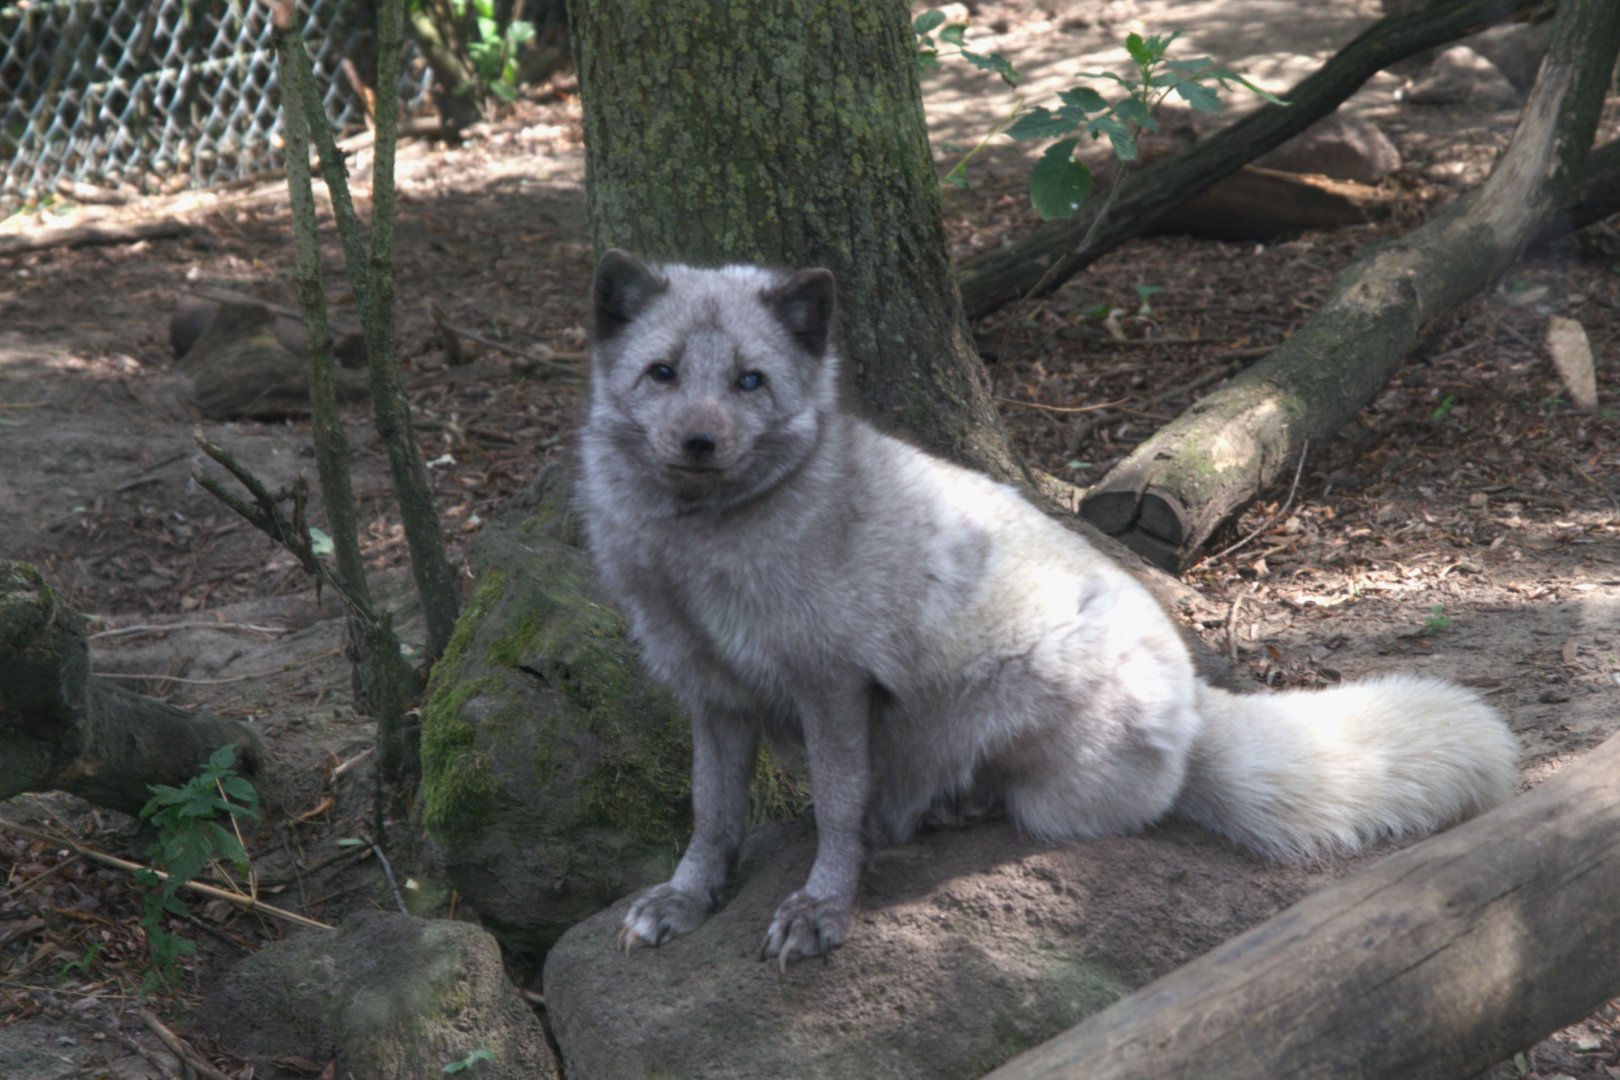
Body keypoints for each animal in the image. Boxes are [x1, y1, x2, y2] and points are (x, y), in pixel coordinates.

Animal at [575, 249, 1519, 967]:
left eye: (750, 381)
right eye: (663, 373)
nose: (700, 442)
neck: (697, 553)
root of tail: (1198, 707)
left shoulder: (833, 686)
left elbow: (837, 813)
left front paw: (821, 909)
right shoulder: (711, 694)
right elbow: (711, 810)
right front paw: (687, 898)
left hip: (1028, 689)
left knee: (1075, 809)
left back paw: (949, 807)